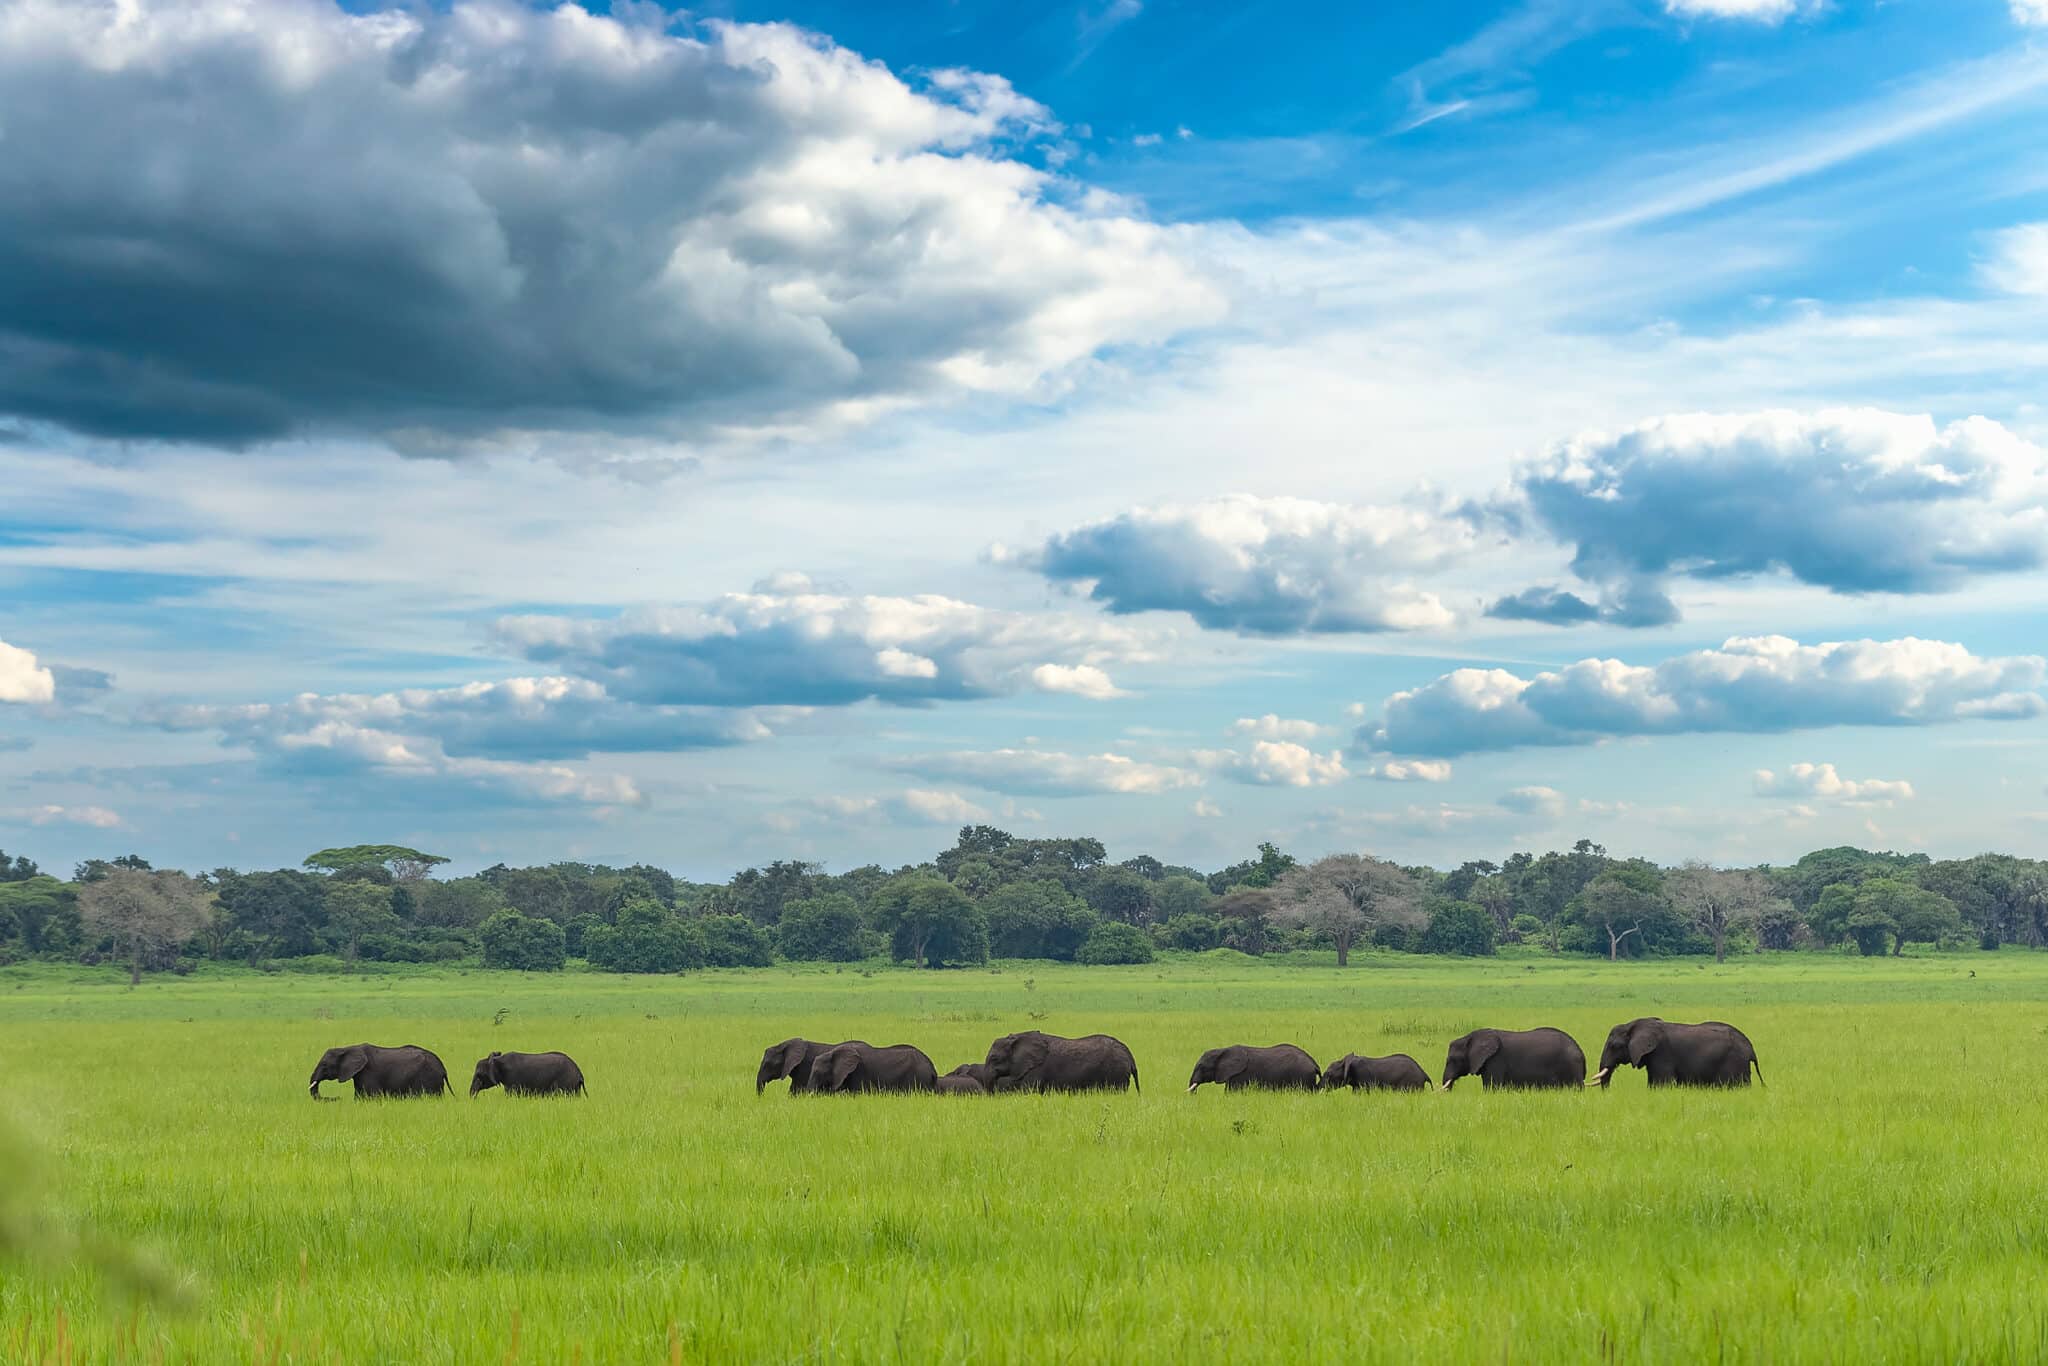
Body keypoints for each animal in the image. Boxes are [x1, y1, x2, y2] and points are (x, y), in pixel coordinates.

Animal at [308, 1043, 449, 1099]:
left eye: (325, 1065)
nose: (338, 1098)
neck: (347, 1048)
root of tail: (443, 1068)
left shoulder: (369, 1072)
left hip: (428, 1077)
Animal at [1440, 1027, 1585, 1091]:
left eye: (1453, 1060)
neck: (1470, 1036)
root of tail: (1580, 1051)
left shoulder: (1495, 1060)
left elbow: (1491, 1087)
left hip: (1571, 1066)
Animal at [1590, 1018, 1762, 1088]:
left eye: (1614, 1046)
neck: (1633, 1024)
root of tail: (1751, 1049)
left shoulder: (1662, 1054)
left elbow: (1661, 1084)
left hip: (1734, 1061)